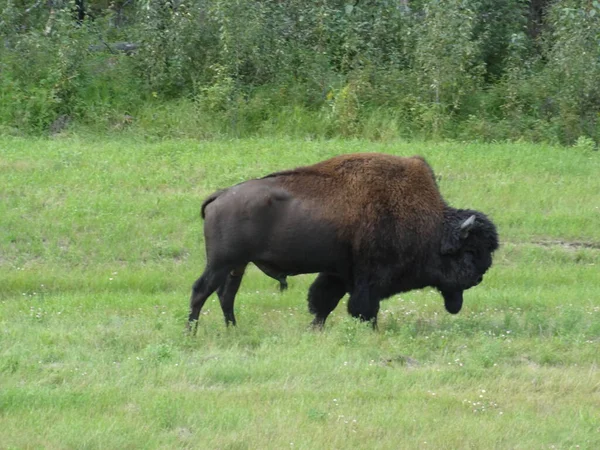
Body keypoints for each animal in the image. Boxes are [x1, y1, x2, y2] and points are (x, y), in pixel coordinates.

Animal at [188, 154, 496, 330]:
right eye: (470, 251)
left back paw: (233, 330)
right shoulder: (369, 278)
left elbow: (323, 301)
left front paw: (315, 330)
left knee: (226, 295)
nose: (479, 277)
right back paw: (191, 331)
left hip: (237, 265)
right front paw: (370, 330)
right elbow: (362, 308)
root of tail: (220, 196)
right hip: (221, 263)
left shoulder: (339, 273)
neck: (430, 223)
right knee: (201, 291)